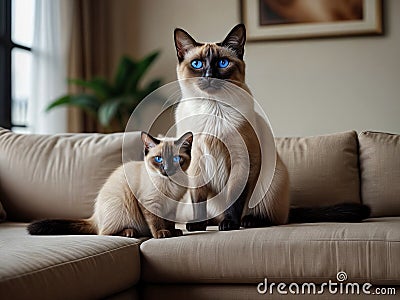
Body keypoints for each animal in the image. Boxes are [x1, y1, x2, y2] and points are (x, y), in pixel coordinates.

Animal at [27, 131, 193, 239]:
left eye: (177, 159)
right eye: (159, 159)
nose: (167, 170)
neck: (170, 185)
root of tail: (94, 217)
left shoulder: (172, 205)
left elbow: (169, 221)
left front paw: (173, 232)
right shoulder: (149, 203)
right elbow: (156, 221)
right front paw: (162, 234)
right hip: (122, 207)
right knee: (104, 233)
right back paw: (129, 232)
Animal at [173, 24, 370, 232]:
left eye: (223, 63)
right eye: (197, 64)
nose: (210, 76)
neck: (211, 108)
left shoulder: (243, 161)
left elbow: (235, 200)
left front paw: (230, 225)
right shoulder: (196, 166)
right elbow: (197, 202)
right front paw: (196, 225)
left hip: (271, 178)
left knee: (273, 217)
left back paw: (248, 221)